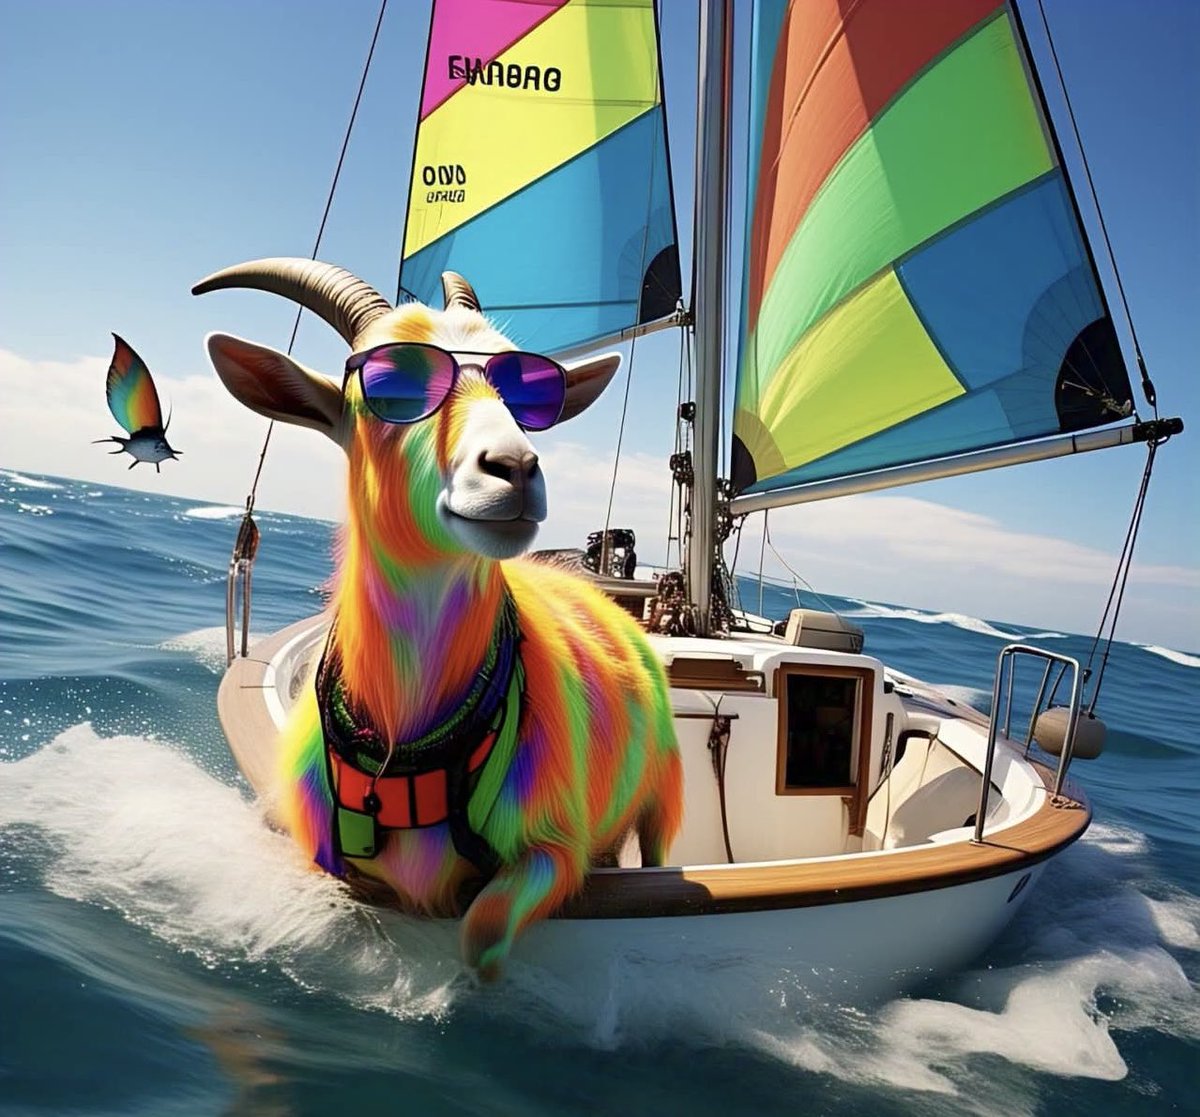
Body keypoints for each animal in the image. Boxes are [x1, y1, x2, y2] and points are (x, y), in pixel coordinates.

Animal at [194, 259, 683, 978]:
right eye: (386, 387)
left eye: (525, 390)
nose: (514, 467)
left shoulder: (555, 849)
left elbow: (482, 932)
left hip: (663, 798)